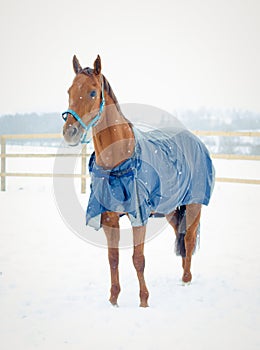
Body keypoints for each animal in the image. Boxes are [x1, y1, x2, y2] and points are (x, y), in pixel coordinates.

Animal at [62, 54, 214, 306]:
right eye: (69, 91)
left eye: (93, 92)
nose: (69, 132)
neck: (118, 161)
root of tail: (195, 139)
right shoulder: (109, 218)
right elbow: (113, 258)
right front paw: (113, 299)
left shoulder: (138, 216)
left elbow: (138, 259)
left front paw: (144, 301)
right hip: (170, 209)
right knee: (180, 236)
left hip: (193, 205)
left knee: (189, 240)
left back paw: (186, 280)